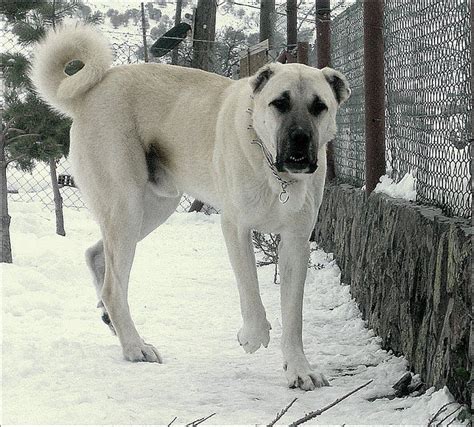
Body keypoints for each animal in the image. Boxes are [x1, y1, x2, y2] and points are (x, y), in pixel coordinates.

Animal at [29, 23, 348, 392]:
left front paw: (299, 369)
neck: (275, 172)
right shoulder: (235, 228)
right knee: (113, 286)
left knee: (97, 257)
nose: (299, 140)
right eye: (279, 103)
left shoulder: (296, 241)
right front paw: (252, 336)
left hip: (154, 208)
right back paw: (135, 346)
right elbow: (250, 291)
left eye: (319, 106)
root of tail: (90, 91)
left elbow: (293, 315)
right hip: (126, 208)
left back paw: (112, 321)